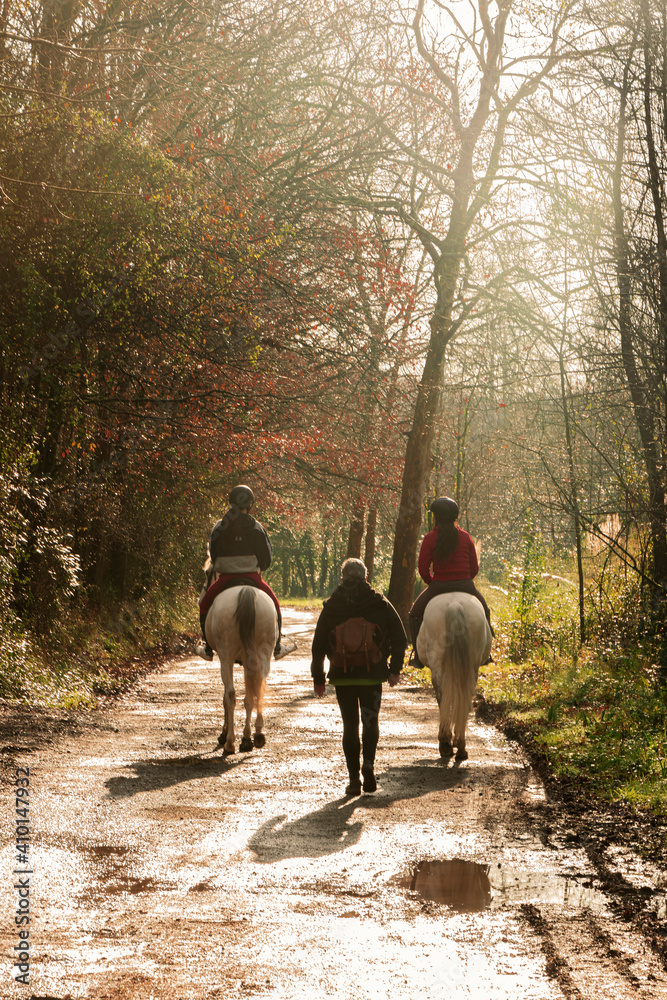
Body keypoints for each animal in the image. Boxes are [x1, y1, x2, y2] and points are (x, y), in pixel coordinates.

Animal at [205, 585, 278, 755]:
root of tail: (246, 590)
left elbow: (226, 697)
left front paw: (224, 734)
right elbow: (249, 696)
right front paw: (247, 737)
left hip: (226, 655)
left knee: (231, 695)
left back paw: (230, 743)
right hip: (262, 654)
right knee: (258, 689)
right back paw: (256, 736)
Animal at [416, 592, 492, 762]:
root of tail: (454, 604)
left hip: (438, 661)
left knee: (442, 695)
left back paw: (446, 743)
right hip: (472, 665)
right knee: (465, 695)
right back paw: (460, 746)